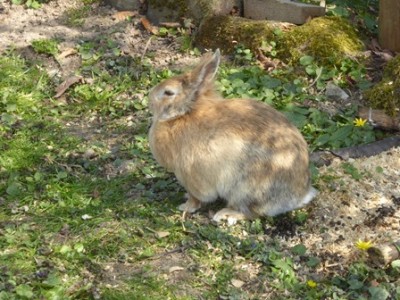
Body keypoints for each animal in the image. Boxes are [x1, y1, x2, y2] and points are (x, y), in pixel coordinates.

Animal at [148, 49, 318, 225]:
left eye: (168, 93)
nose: (150, 98)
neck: (183, 115)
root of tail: (300, 195)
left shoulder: (191, 175)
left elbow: (197, 197)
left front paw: (186, 206)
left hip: (246, 189)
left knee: (252, 212)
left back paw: (227, 214)